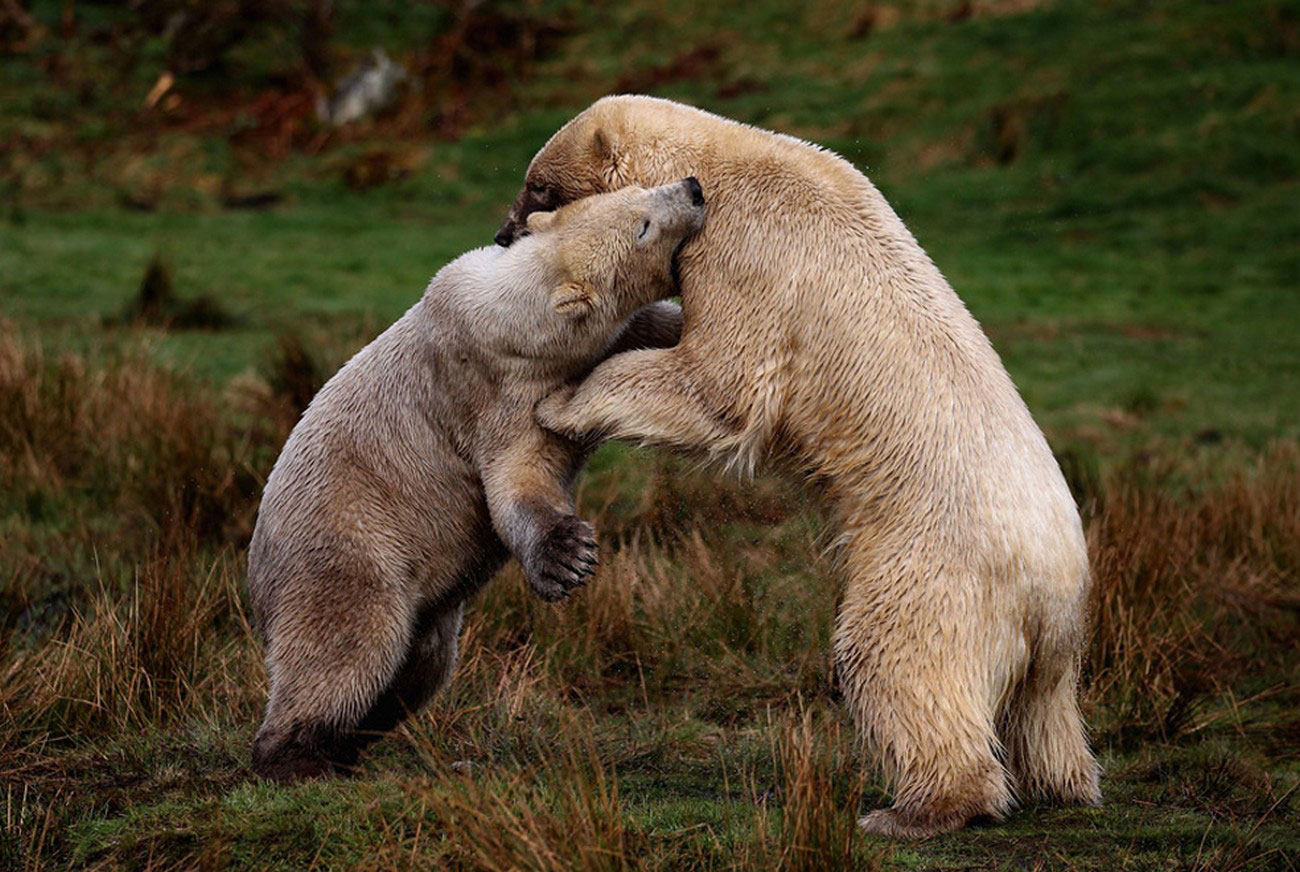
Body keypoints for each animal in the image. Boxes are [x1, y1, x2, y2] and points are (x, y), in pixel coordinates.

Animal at [246, 179, 707, 784]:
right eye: (642, 227)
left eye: (638, 191)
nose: (694, 189)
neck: (510, 315)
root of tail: (256, 582)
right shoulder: (495, 391)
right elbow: (517, 479)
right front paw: (568, 558)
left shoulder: (602, 341)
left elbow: (658, 332)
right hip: (346, 553)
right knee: (346, 648)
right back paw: (298, 756)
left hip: (420, 607)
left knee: (419, 665)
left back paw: (351, 742)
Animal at [493, 97, 1097, 836]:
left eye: (539, 187)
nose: (501, 235)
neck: (724, 164)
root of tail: (1054, 590)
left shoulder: (743, 252)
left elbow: (719, 383)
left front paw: (562, 403)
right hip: (1050, 642)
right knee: (1044, 712)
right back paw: (1059, 782)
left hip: (928, 567)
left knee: (893, 658)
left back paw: (918, 808)